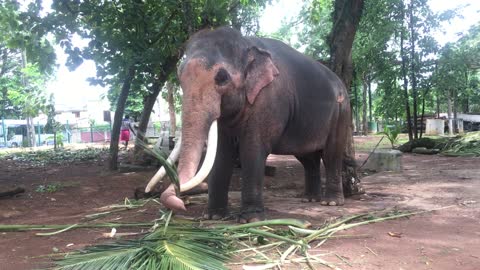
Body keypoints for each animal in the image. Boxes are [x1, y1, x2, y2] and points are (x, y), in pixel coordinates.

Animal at [144, 26, 350, 223]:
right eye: (179, 76)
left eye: (222, 78)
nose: (181, 204)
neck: (246, 43)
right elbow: (221, 153)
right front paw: (214, 217)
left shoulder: (267, 100)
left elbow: (252, 149)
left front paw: (251, 219)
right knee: (308, 158)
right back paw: (309, 199)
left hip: (342, 112)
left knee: (331, 153)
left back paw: (330, 202)